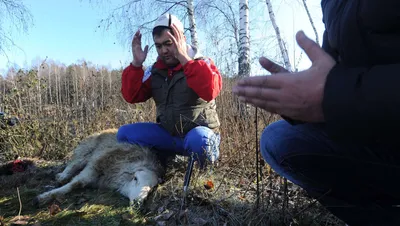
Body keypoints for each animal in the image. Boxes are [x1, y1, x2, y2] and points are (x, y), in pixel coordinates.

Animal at [32, 128, 167, 207]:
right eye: (135, 179)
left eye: (152, 188)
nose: (138, 203)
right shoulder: (94, 166)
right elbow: (75, 184)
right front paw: (44, 197)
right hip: (85, 151)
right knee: (73, 164)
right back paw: (63, 176)